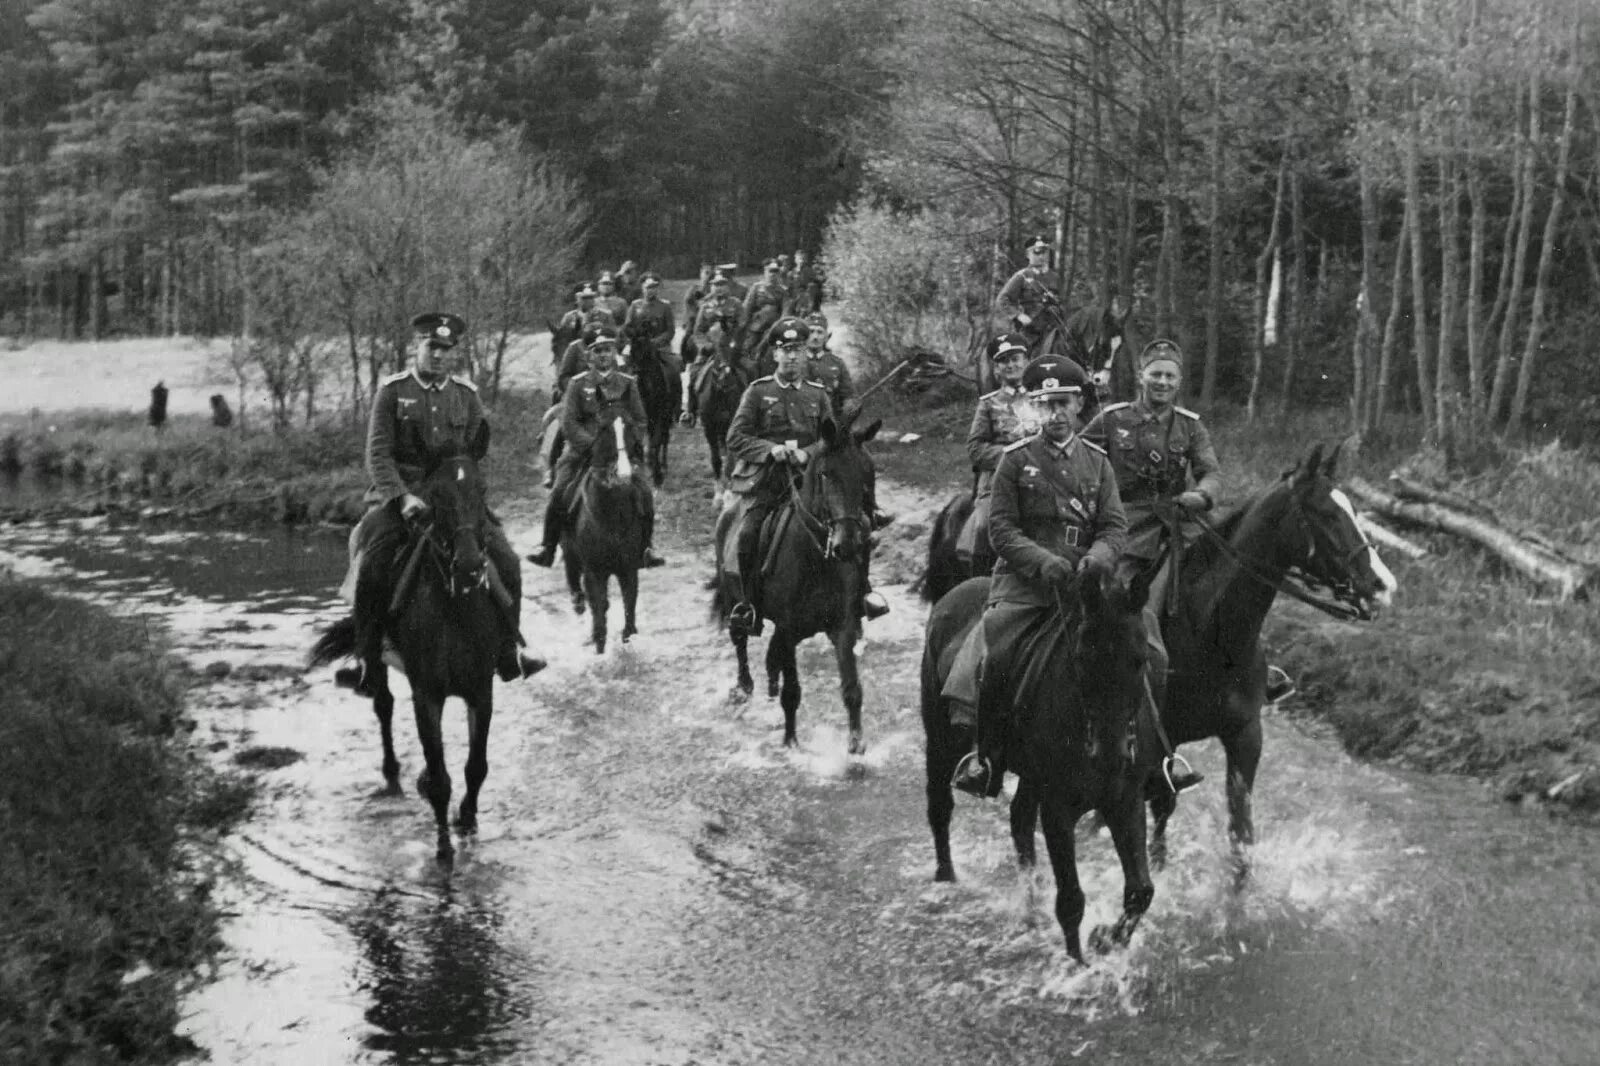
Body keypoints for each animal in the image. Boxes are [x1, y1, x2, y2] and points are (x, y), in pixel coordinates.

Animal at [716, 409, 889, 752]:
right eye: (825, 474)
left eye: (867, 472)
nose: (847, 544)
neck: (816, 558)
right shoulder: (788, 630)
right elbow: (792, 691)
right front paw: (790, 741)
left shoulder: (842, 626)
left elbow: (852, 688)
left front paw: (856, 743)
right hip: (734, 600)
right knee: (739, 638)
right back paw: (744, 687)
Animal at [921, 569, 1158, 960]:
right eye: (1082, 659)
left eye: (1139, 659)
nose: (1111, 756)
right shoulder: (1058, 808)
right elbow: (1071, 901)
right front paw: (1077, 964)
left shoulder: (1125, 800)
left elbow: (1141, 890)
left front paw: (1105, 939)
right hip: (940, 739)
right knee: (940, 805)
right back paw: (946, 876)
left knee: (1019, 821)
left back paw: (1030, 908)